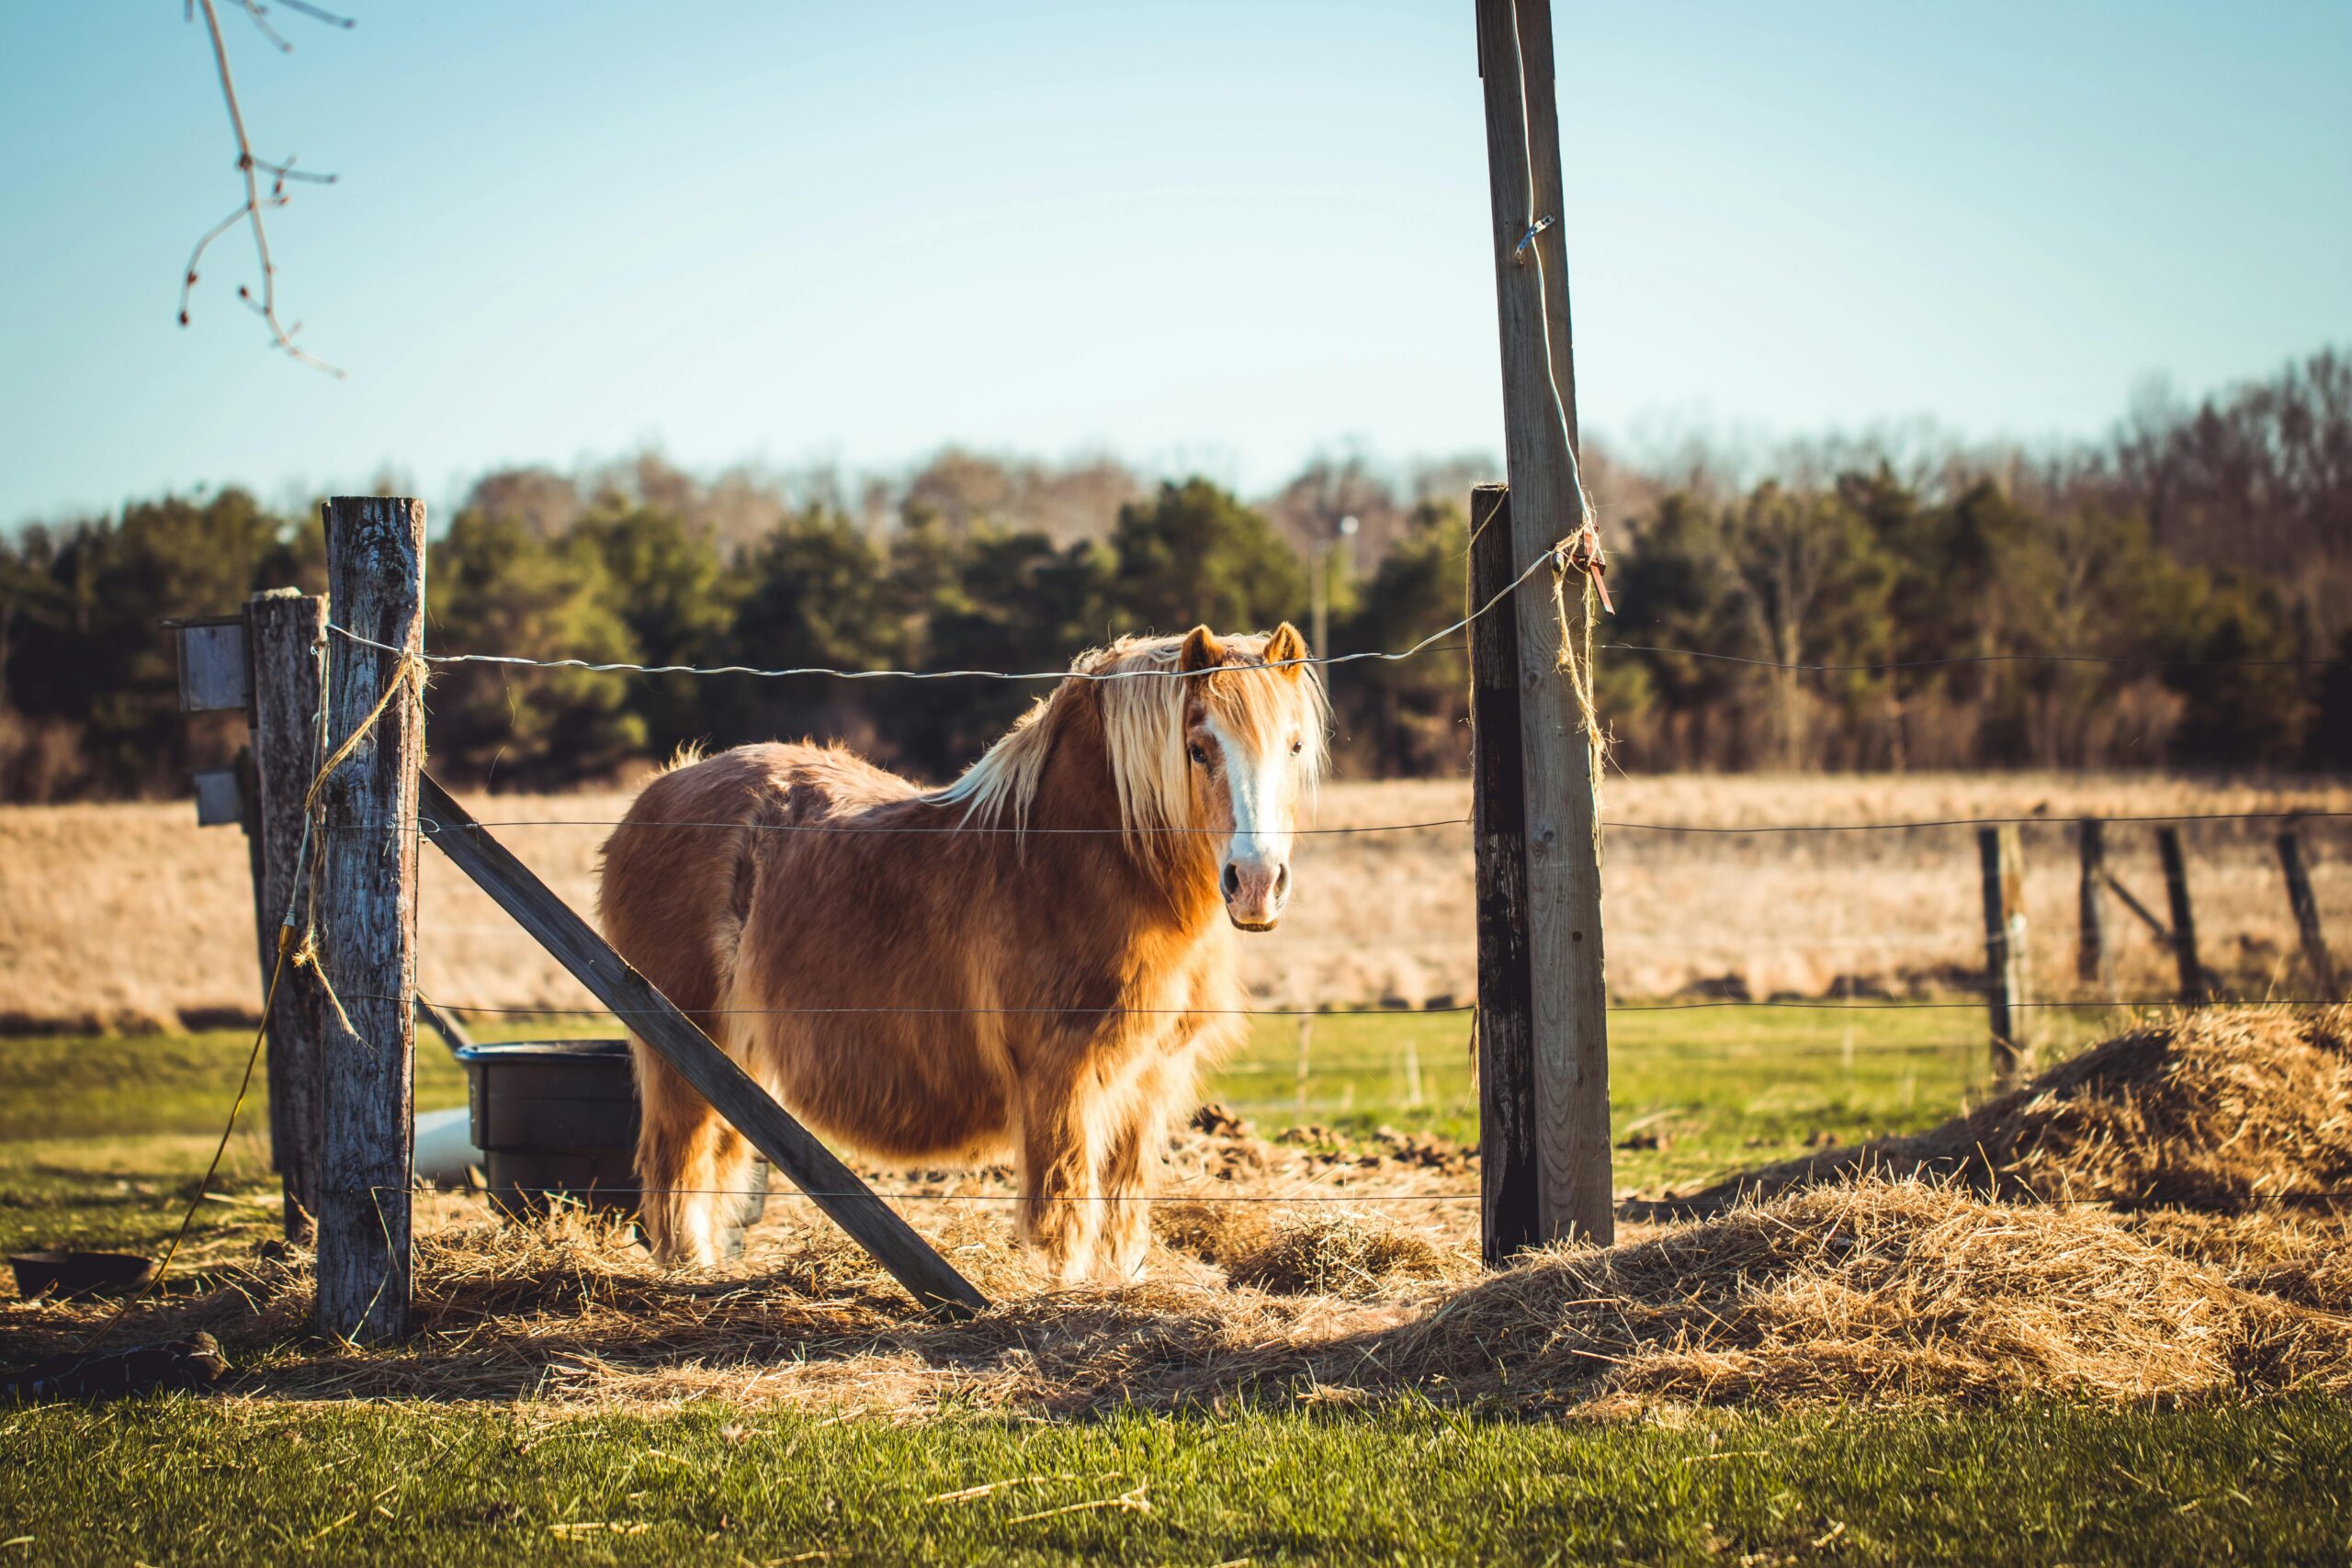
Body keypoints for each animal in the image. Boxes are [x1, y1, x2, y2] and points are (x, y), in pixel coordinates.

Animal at [597, 622, 1328, 1281]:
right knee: (678, 1162)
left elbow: (1122, 1213)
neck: (1076, 859)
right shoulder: (1059, 1079)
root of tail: (657, 791)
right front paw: (1056, 1291)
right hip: (683, 1049)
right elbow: (1063, 1211)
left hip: (731, 1059)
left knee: (715, 1158)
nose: (1255, 882)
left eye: (1294, 745)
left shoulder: (1150, 1080)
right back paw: (689, 1274)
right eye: (1198, 748)